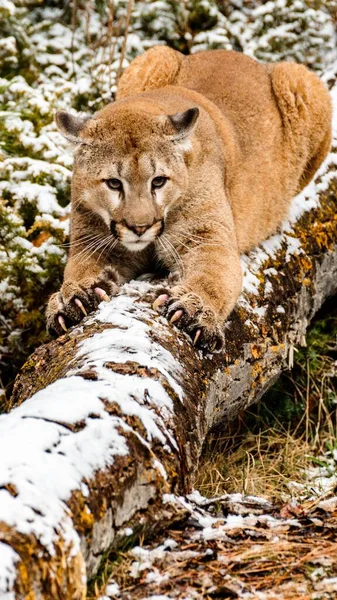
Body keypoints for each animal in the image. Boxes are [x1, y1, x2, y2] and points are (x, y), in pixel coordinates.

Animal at [46, 50, 330, 352]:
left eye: (158, 181)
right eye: (114, 183)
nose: (139, 228)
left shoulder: (208, 237)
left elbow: (212, 276)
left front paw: (192, 310)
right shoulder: (93, 239)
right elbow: (79, 268)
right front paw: (73, 296)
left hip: (302, 81)